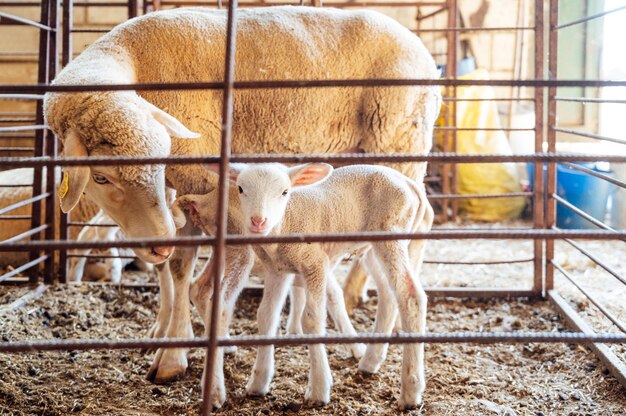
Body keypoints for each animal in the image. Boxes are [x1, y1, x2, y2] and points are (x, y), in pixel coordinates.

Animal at [44, 6, 438, 384]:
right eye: (100, 177)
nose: (159, 243)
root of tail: (423, 52)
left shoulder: (196, 179)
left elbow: (183, 268)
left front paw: (173, 354)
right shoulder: (173, 193)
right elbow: (169, 270)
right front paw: (165, 328)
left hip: (398, 141)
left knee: (422, 224)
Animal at [178, 162, 434, 410]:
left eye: (284, 192)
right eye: (241, 189)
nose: (258, 221)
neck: (288, 221)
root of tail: (411, 185)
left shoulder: (315, 263)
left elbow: (312, 318)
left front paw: (319, 389)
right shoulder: (278, 271)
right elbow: (266, 317)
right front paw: (259, 382)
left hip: (390, 234)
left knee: (410, 295)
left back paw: (410, 391)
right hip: (373, 247)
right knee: (389, 294)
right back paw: (370, 361)